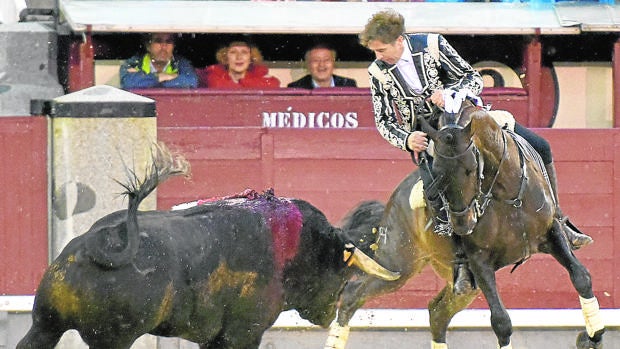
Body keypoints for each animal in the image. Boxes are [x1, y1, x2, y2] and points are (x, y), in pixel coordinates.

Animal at [19, 144, 400, 348]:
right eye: (342, 272)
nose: (329, 314)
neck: (295, 243)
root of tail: (90, 247)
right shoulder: (241, 334)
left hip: (44, 324)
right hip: (112, 338)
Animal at [326, 103, 604, 348]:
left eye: (471, 168)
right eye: (436, 170)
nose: (462, 224)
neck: (507, 191)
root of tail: (391, 202)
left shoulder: (551, 232)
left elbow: (581, 277)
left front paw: (592, 338)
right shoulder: (479, 259)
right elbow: (501, 320)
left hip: (458, 284)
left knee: (437, 312)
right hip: (397, 265)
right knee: (351, 296)